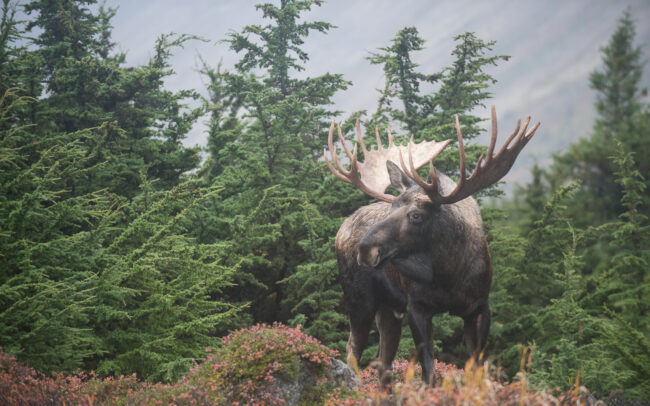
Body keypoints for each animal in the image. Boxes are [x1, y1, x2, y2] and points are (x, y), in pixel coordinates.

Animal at [324, 106, 539, 385]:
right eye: (392, 207)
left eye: (417, 215)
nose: (365, 249)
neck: (448, 274)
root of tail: (342, 229)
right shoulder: (417, 306)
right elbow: (428, 369)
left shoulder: (480, 306)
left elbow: (476, 366)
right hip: (359, 298)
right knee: (353, 349)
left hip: (388, 308)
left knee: (384, 360)